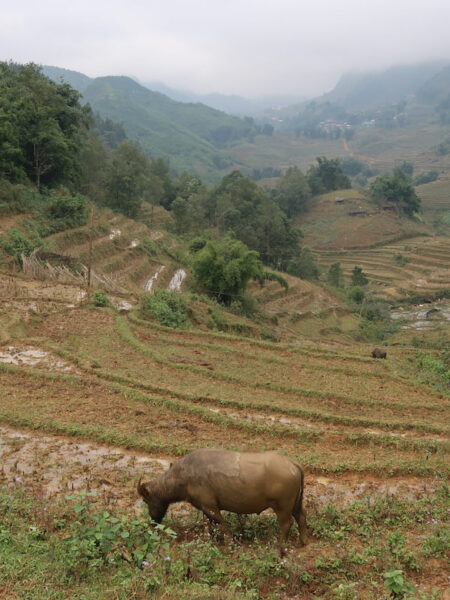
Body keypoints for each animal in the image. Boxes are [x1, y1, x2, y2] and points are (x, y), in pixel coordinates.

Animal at [137, 448, 306, 556]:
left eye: (145, 500)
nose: (152, 521)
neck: (184, 476)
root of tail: (292, 464)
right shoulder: (205, 508)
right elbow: (209, 525)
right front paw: (210, 540)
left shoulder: (211, 507)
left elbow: (222, 525)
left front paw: (230, 544)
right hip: (295, 504)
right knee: (301, 517)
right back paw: (303, 542)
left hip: (282, 506)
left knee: (286, 524)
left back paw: (280, 550)